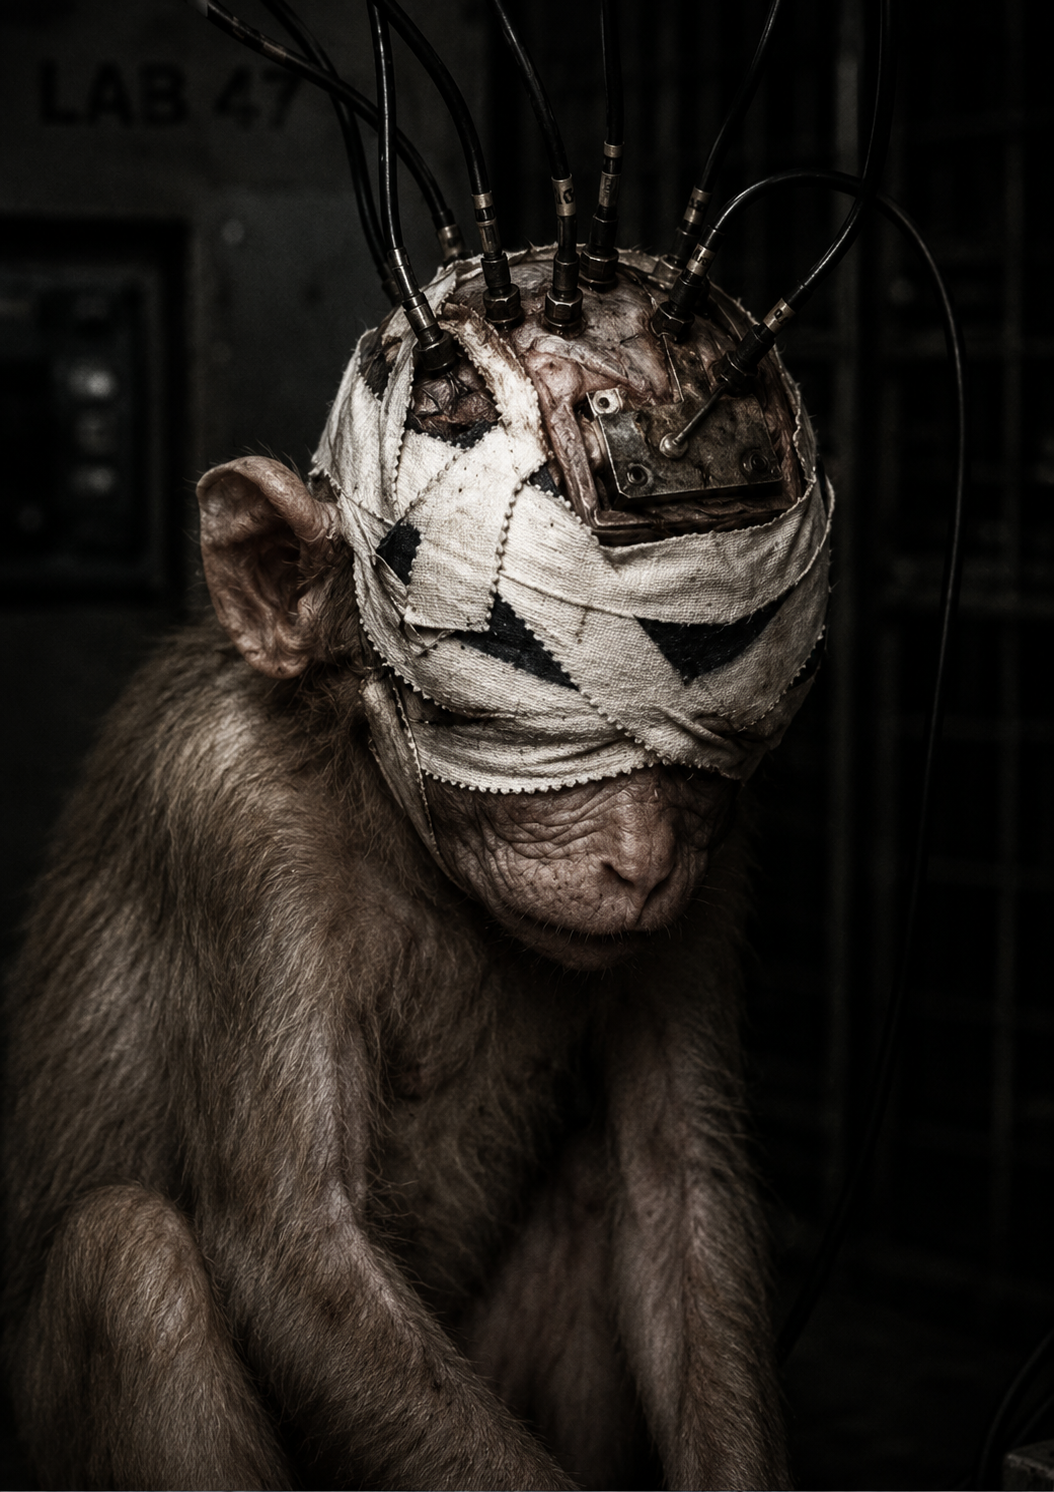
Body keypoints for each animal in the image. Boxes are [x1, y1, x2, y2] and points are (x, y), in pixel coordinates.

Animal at [2, 251, 828, 1491]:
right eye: (494, 719)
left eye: (699, 763)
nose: (636, 860)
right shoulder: (230, 813)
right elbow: (294, 1247)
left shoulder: (715, 860)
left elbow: (678, 1183)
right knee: (128, 1263)